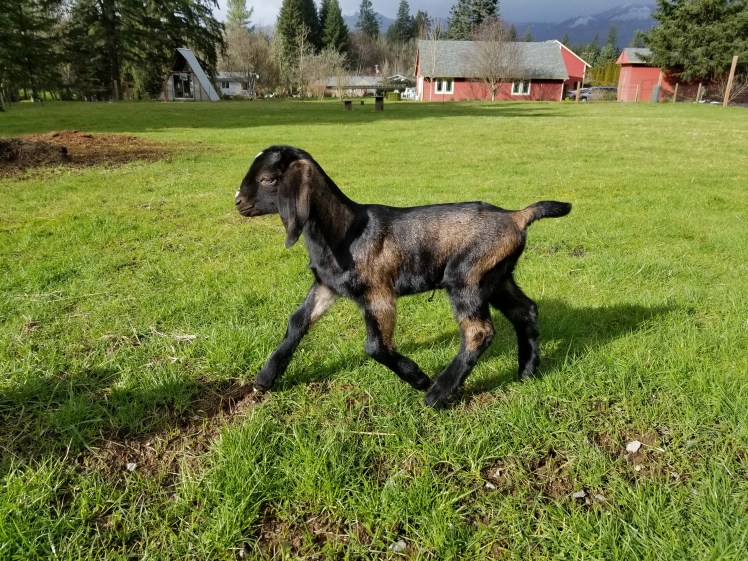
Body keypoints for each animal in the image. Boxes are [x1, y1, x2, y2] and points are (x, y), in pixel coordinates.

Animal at [235, 145, 571, 407]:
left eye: (267, 179)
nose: (238, 201)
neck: (346, 231)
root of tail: (516, 217)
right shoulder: (327, 286)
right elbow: (297, 321)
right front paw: (265, 378)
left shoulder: (378, 292)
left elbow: (374, 346)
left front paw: (418, 378)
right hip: (497, 277)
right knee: (525, 310)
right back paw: (527, 372)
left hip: (468, 278)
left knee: (479, 332)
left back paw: (436, 394)